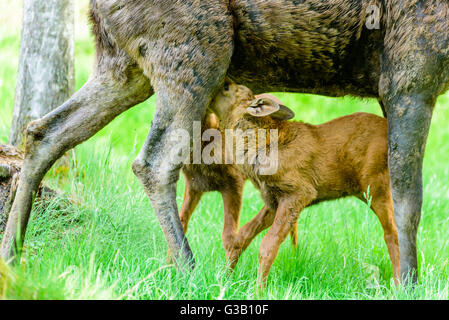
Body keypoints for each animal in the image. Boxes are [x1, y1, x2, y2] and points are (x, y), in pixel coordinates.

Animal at [210, 80, 400, 284]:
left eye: (227, 88)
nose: (223, 80)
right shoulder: (273, 198)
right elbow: (242, 236)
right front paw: (225, 278)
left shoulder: (300, 191)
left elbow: (268, 245)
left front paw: (259, 288)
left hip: (376, 185)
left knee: (393, 232)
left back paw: (399, 284)